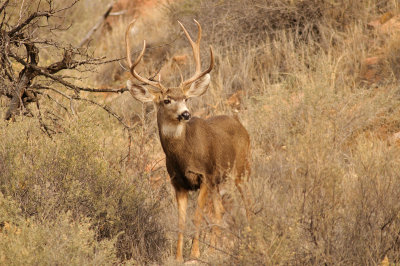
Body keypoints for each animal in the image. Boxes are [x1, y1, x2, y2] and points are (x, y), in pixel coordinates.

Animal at [126, 19, 250, 260]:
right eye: (166, 100)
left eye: (185, 98)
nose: (185, 114)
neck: (184, 156)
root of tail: (242, 126)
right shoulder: (178, 182)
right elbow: (181, 221)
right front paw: (178, 256)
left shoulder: (204, 175)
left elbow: (197, 216)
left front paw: (195, 253)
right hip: (219, 180)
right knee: (220, 211)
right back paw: (214, 247)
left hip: (240, 169)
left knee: (247, 202)